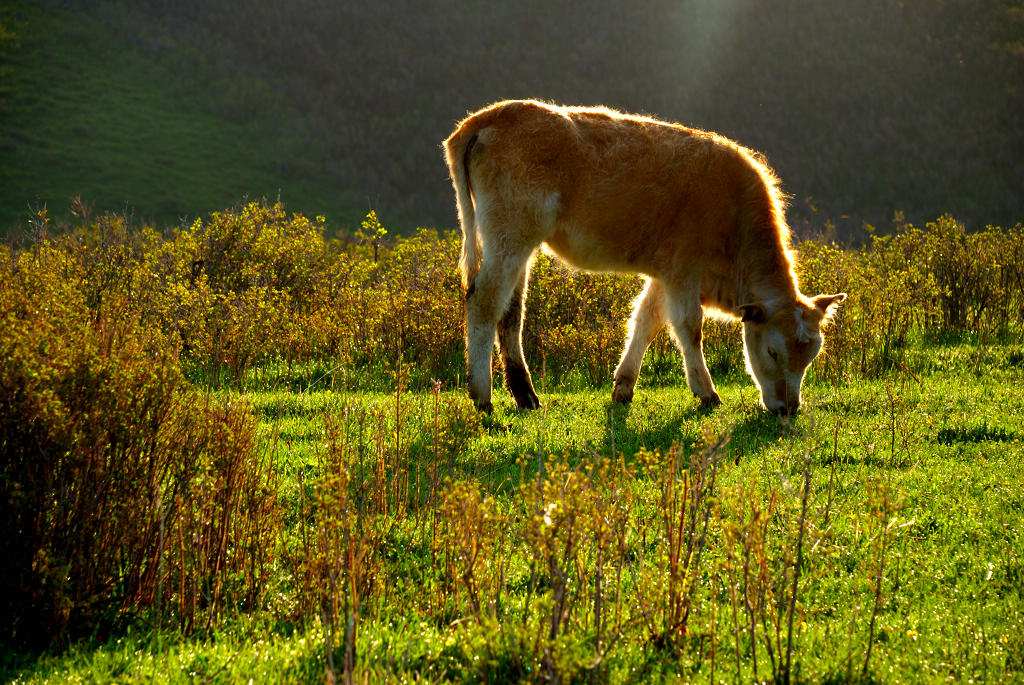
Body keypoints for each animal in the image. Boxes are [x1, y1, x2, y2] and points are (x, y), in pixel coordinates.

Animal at [444, 98, 843, 413]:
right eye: (774, 352)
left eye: (811, 355)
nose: (788, 408)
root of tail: (488, 116)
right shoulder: (683, 273)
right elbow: (688, 328)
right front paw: (706, 392)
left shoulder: (664, 276)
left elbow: (645, 321)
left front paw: (623, 387)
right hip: (509, 240)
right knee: (485, 302)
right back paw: (483, 396)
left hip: (519, 248)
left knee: (511, 314)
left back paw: (525, 395)